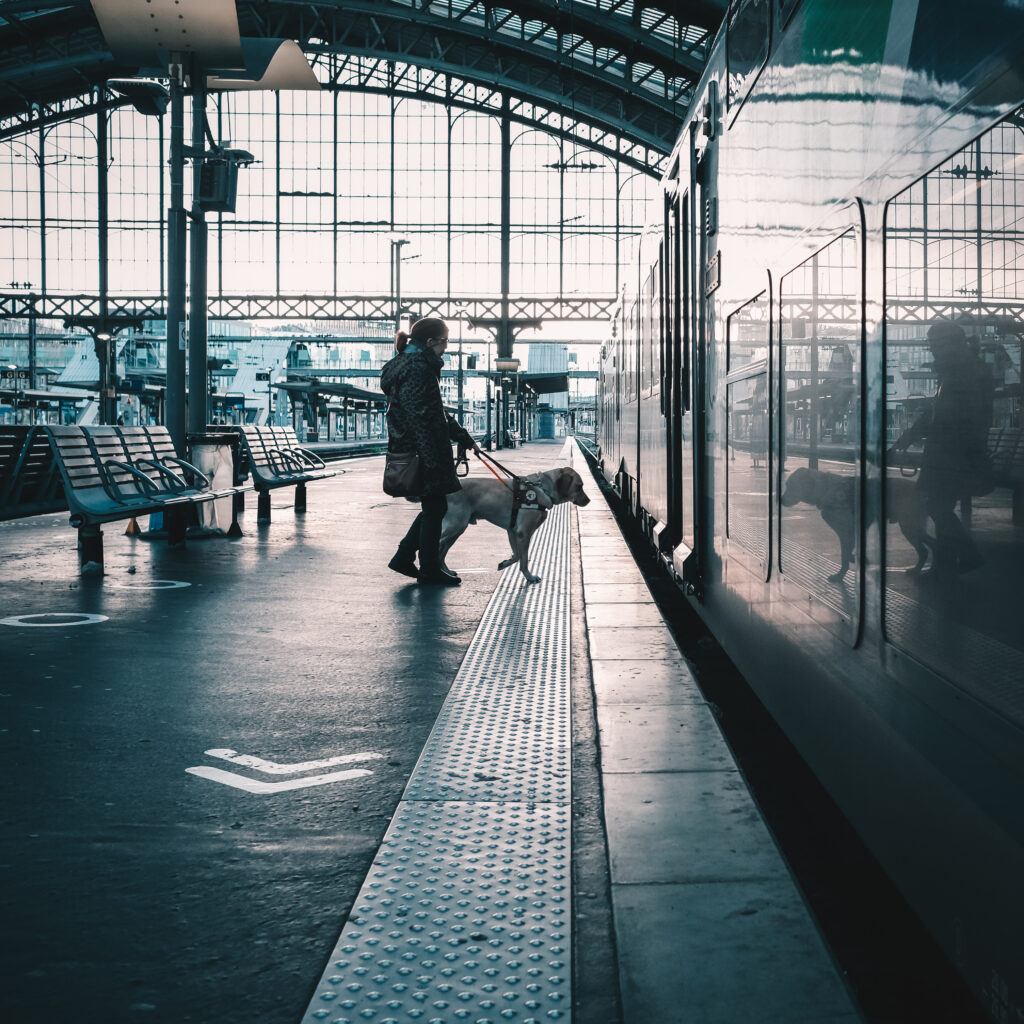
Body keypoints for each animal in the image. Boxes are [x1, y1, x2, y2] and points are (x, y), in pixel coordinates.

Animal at [440, 466, 593, 585]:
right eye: (579, 486)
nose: (589, 500)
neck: (543, 489)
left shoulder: (513, 531)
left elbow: (517, 555)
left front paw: (505, 563)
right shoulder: (523, 533)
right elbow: (523, 559)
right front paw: (529, 577)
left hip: (456, 531)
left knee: (441, 552)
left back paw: (446, 572)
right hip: (455, 526)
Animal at [778, 466, 933, 581]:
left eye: (790, 486)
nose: (781, 500)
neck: (826, 489)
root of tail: (921, 491)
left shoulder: (847, 532)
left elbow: (844, 556)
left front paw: (840, 575)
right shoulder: (850, 532)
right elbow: (847, 552)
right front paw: (854, 559)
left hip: (910, 527)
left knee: (927, 549)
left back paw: (920, 570)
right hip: (912, 527)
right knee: (929, 547)